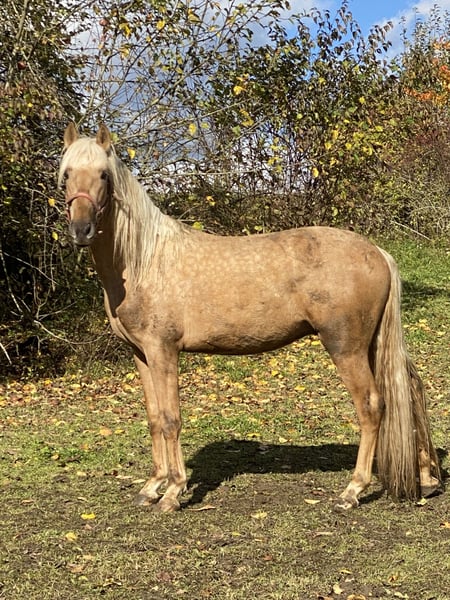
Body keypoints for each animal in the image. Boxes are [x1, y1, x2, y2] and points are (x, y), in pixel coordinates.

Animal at [59, 123, 442, 512]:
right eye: (67, 175)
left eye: (103, 175)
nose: (81, 230)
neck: (143, 260)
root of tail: (377, 252)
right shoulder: (141, 354)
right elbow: (153, 418)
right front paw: (152, 486)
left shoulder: (163, 351)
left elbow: (170, 420)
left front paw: (173, 492)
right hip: (373, 343)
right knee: (410, 389)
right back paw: (427, 480)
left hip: (346, 347)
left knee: (371, 406)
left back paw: (352, 491)